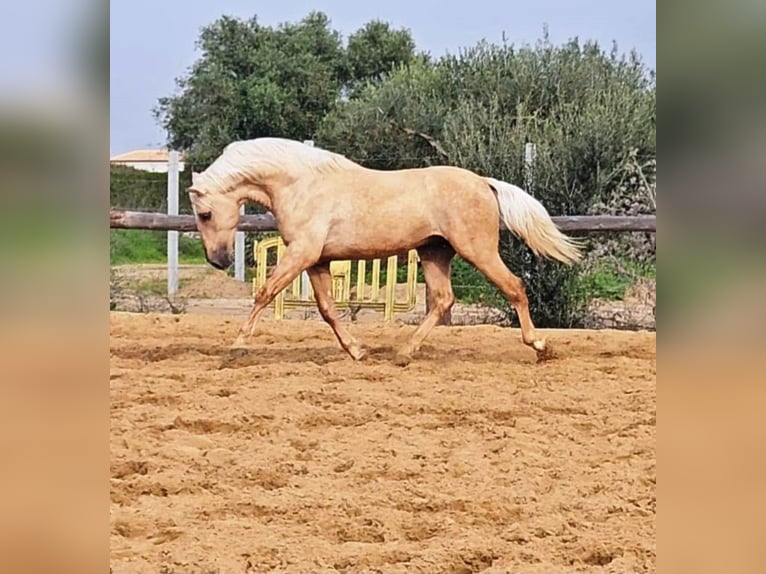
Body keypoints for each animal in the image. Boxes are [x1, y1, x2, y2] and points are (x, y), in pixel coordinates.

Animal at [188, 138, 584, 364]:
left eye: (205, 214)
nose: (218, 261)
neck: (301, 184)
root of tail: (484, 183)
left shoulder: (301, 253)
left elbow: (265, 293)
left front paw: (236, 348)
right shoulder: (317, 261)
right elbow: (328, 310)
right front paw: (357, 351)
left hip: (477, 250)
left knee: (514, 287)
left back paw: (540, 346)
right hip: (434, 253)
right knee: (443, 300)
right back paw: (404, 353)